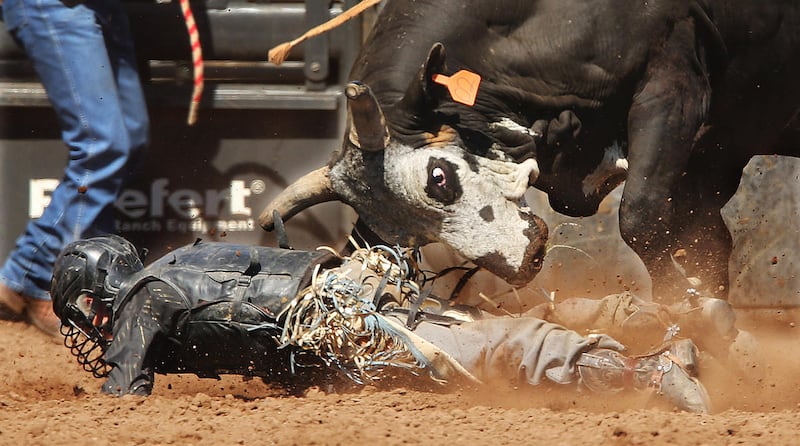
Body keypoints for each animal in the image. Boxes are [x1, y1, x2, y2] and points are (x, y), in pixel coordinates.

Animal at [259, 0, 800, 304]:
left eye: (438, 177)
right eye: (401, 236)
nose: (523, 264)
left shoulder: (673, 82)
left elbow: (643, 218)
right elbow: (703, 242)